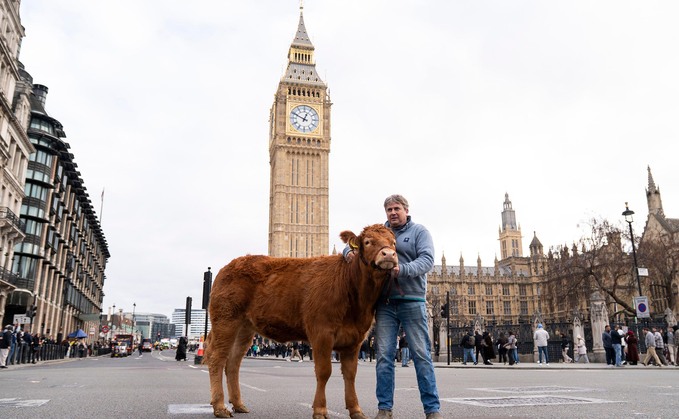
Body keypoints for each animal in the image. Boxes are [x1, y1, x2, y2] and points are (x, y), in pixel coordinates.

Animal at [204, 224, 398, 418]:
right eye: (368, 241)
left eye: (393, 242)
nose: (389, 254)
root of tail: (228, 266)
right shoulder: (321, 333)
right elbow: (324, 371)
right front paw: (320, 409)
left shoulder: (355, 338)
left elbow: (350, 374)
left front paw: (356, 410)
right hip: (225, 320)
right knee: (216, 359)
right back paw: (220, 407)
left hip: (244, 328)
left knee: (233, 363)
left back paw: (238, 404)